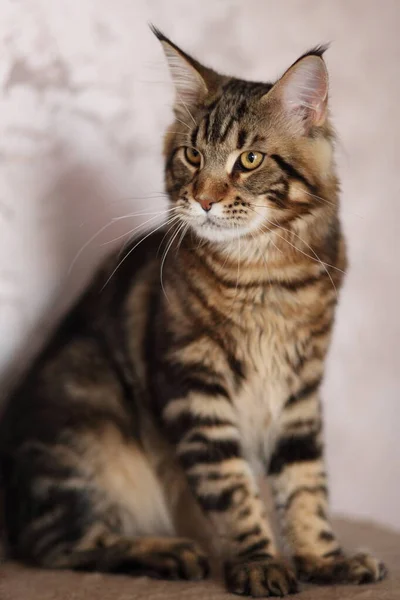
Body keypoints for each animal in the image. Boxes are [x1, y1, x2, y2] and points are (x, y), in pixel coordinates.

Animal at [0, 27, 388, 596]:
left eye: (249, 160)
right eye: (191, 154)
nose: (204, 199)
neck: (266, 276)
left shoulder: (299, 388)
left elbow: (305, 485)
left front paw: (323, 560)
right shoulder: (193, 385)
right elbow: (233, 489)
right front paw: (259, 563)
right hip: (91, 430)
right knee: (65, 546)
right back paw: (171, 552)